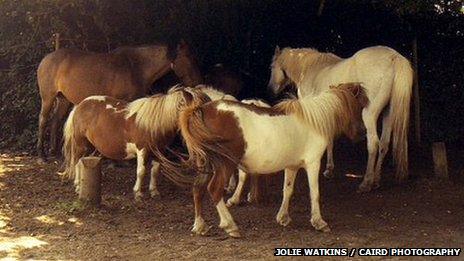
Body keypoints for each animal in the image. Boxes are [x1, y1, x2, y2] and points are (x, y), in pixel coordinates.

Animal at [59, 86, 208, 200]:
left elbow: (155, 171)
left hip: (90, 146)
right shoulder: (142, 150)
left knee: (81, 162)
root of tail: (80, 105)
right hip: (80, 144)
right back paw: (78, 185)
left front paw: (154, 191)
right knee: (76, 161)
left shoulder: (159, 152)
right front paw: (138, 193)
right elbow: (141, 171)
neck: (152, 124)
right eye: (195, 111)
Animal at [161, 83, 368, 236]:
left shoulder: (292, 166)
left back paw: (200, 226)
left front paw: (283, 218)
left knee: (198, 189)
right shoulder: (313, 163)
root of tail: (201, 109)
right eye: (359, 106)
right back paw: (230, 225)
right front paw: (319, 222)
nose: (362, 133)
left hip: (206, 165)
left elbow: (287, 191)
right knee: (214, 190)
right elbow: (315, 193)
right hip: (225, 165)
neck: (313, 121)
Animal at [268, 45, 414, 191]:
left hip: (369, 115)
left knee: (373, 144)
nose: (270, 89)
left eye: (272, 66)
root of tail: (394, 57)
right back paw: (376, 180)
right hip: (388, 113)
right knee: (384, 144)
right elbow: (330, 140)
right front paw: (329, 170)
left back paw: (367, 182)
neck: (311, 69)